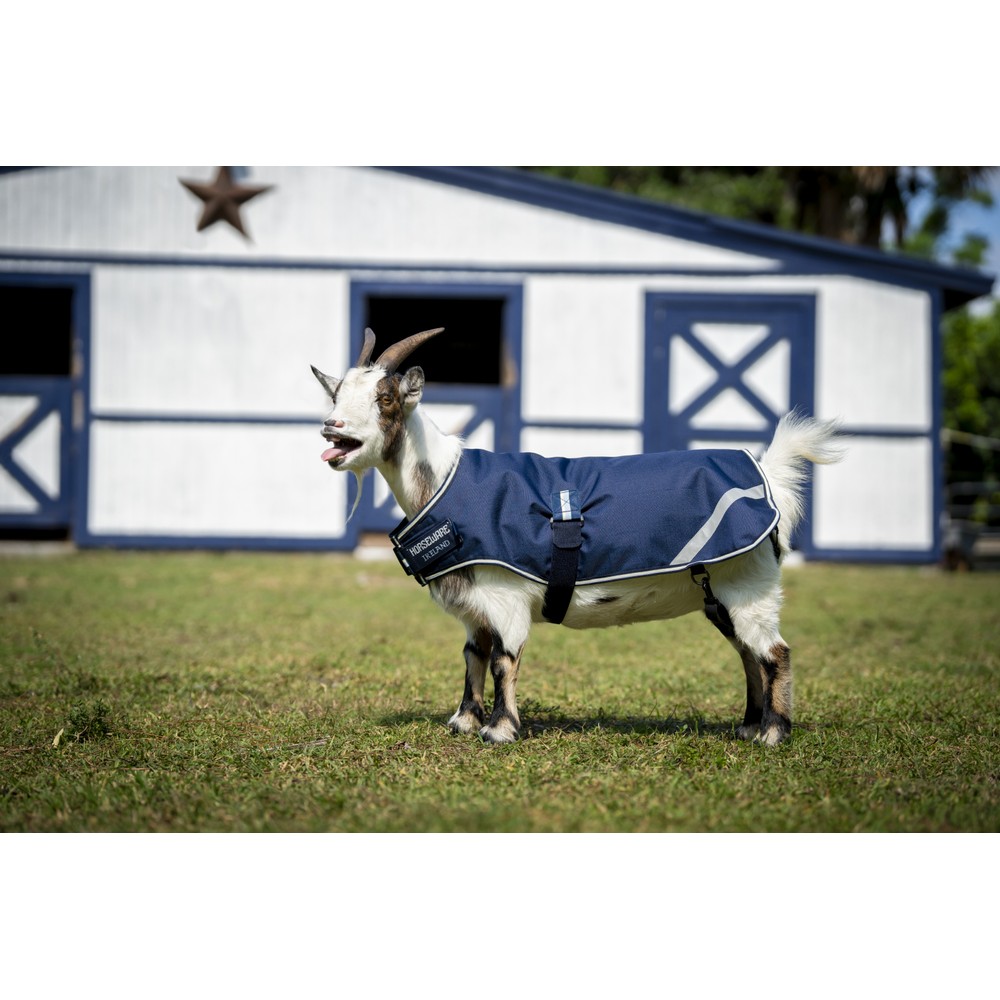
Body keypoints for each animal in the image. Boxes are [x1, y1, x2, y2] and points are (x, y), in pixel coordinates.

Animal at [312, 327, 844, 746]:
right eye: (336, 395)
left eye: (385, 398)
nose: (331, 428)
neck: (445, 480)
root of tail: (767, 474)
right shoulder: (474, 608)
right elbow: (473, 657)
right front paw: (464, 721)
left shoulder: (505, 597)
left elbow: (504, 659)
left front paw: (500, 730)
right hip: (720, 594)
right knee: (748, 654)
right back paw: (749, 726)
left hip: (749, 584)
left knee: (773, 653)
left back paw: (772, 733)